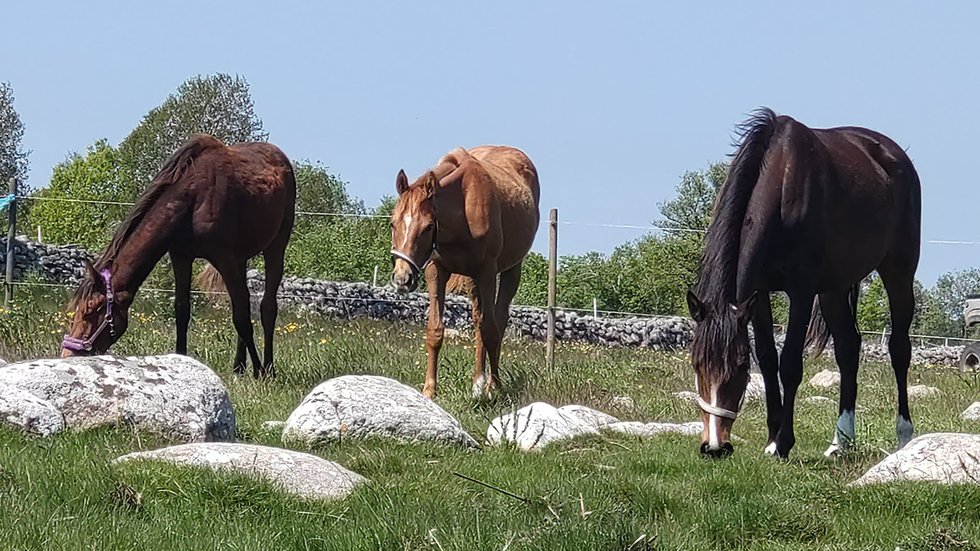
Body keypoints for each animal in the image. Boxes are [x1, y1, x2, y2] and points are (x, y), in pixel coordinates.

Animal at [61, 134, 294, 378]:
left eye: (90, 311)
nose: (68, 354)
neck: (192, 198)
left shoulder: (223, 258)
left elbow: (241, 316)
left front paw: (259, 371)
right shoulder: (181, 256)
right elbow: (182, 311)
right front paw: (180, 360)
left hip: (276, 246)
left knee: (266, 307)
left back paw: (268, 367)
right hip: (241, 258)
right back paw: (238, 367)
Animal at [390, 144, 544, 398]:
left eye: (428, 227)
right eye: (393, 223)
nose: (402, 278)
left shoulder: (487, 273)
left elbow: (491, 330)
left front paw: (494, 388)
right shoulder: (436, 271)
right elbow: (435, 330)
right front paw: (429, 390)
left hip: (511, 269)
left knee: (497, 320)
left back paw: (486, 383)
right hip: (473, 282)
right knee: (478, 319)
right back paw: (478, 381)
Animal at [684, 109, 924, 462]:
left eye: (739, 365)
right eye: (697, 364)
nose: (714, 446)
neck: (782, 185)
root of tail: (894, 155)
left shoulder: (801, 291)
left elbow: (790, 365)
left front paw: (783, 443)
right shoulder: (759, 293)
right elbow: (768, 359)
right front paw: (772, 437)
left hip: (898, 270)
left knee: (899, 349)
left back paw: (904, 435)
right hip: (835, 288)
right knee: (848, 349)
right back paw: (840, 441)